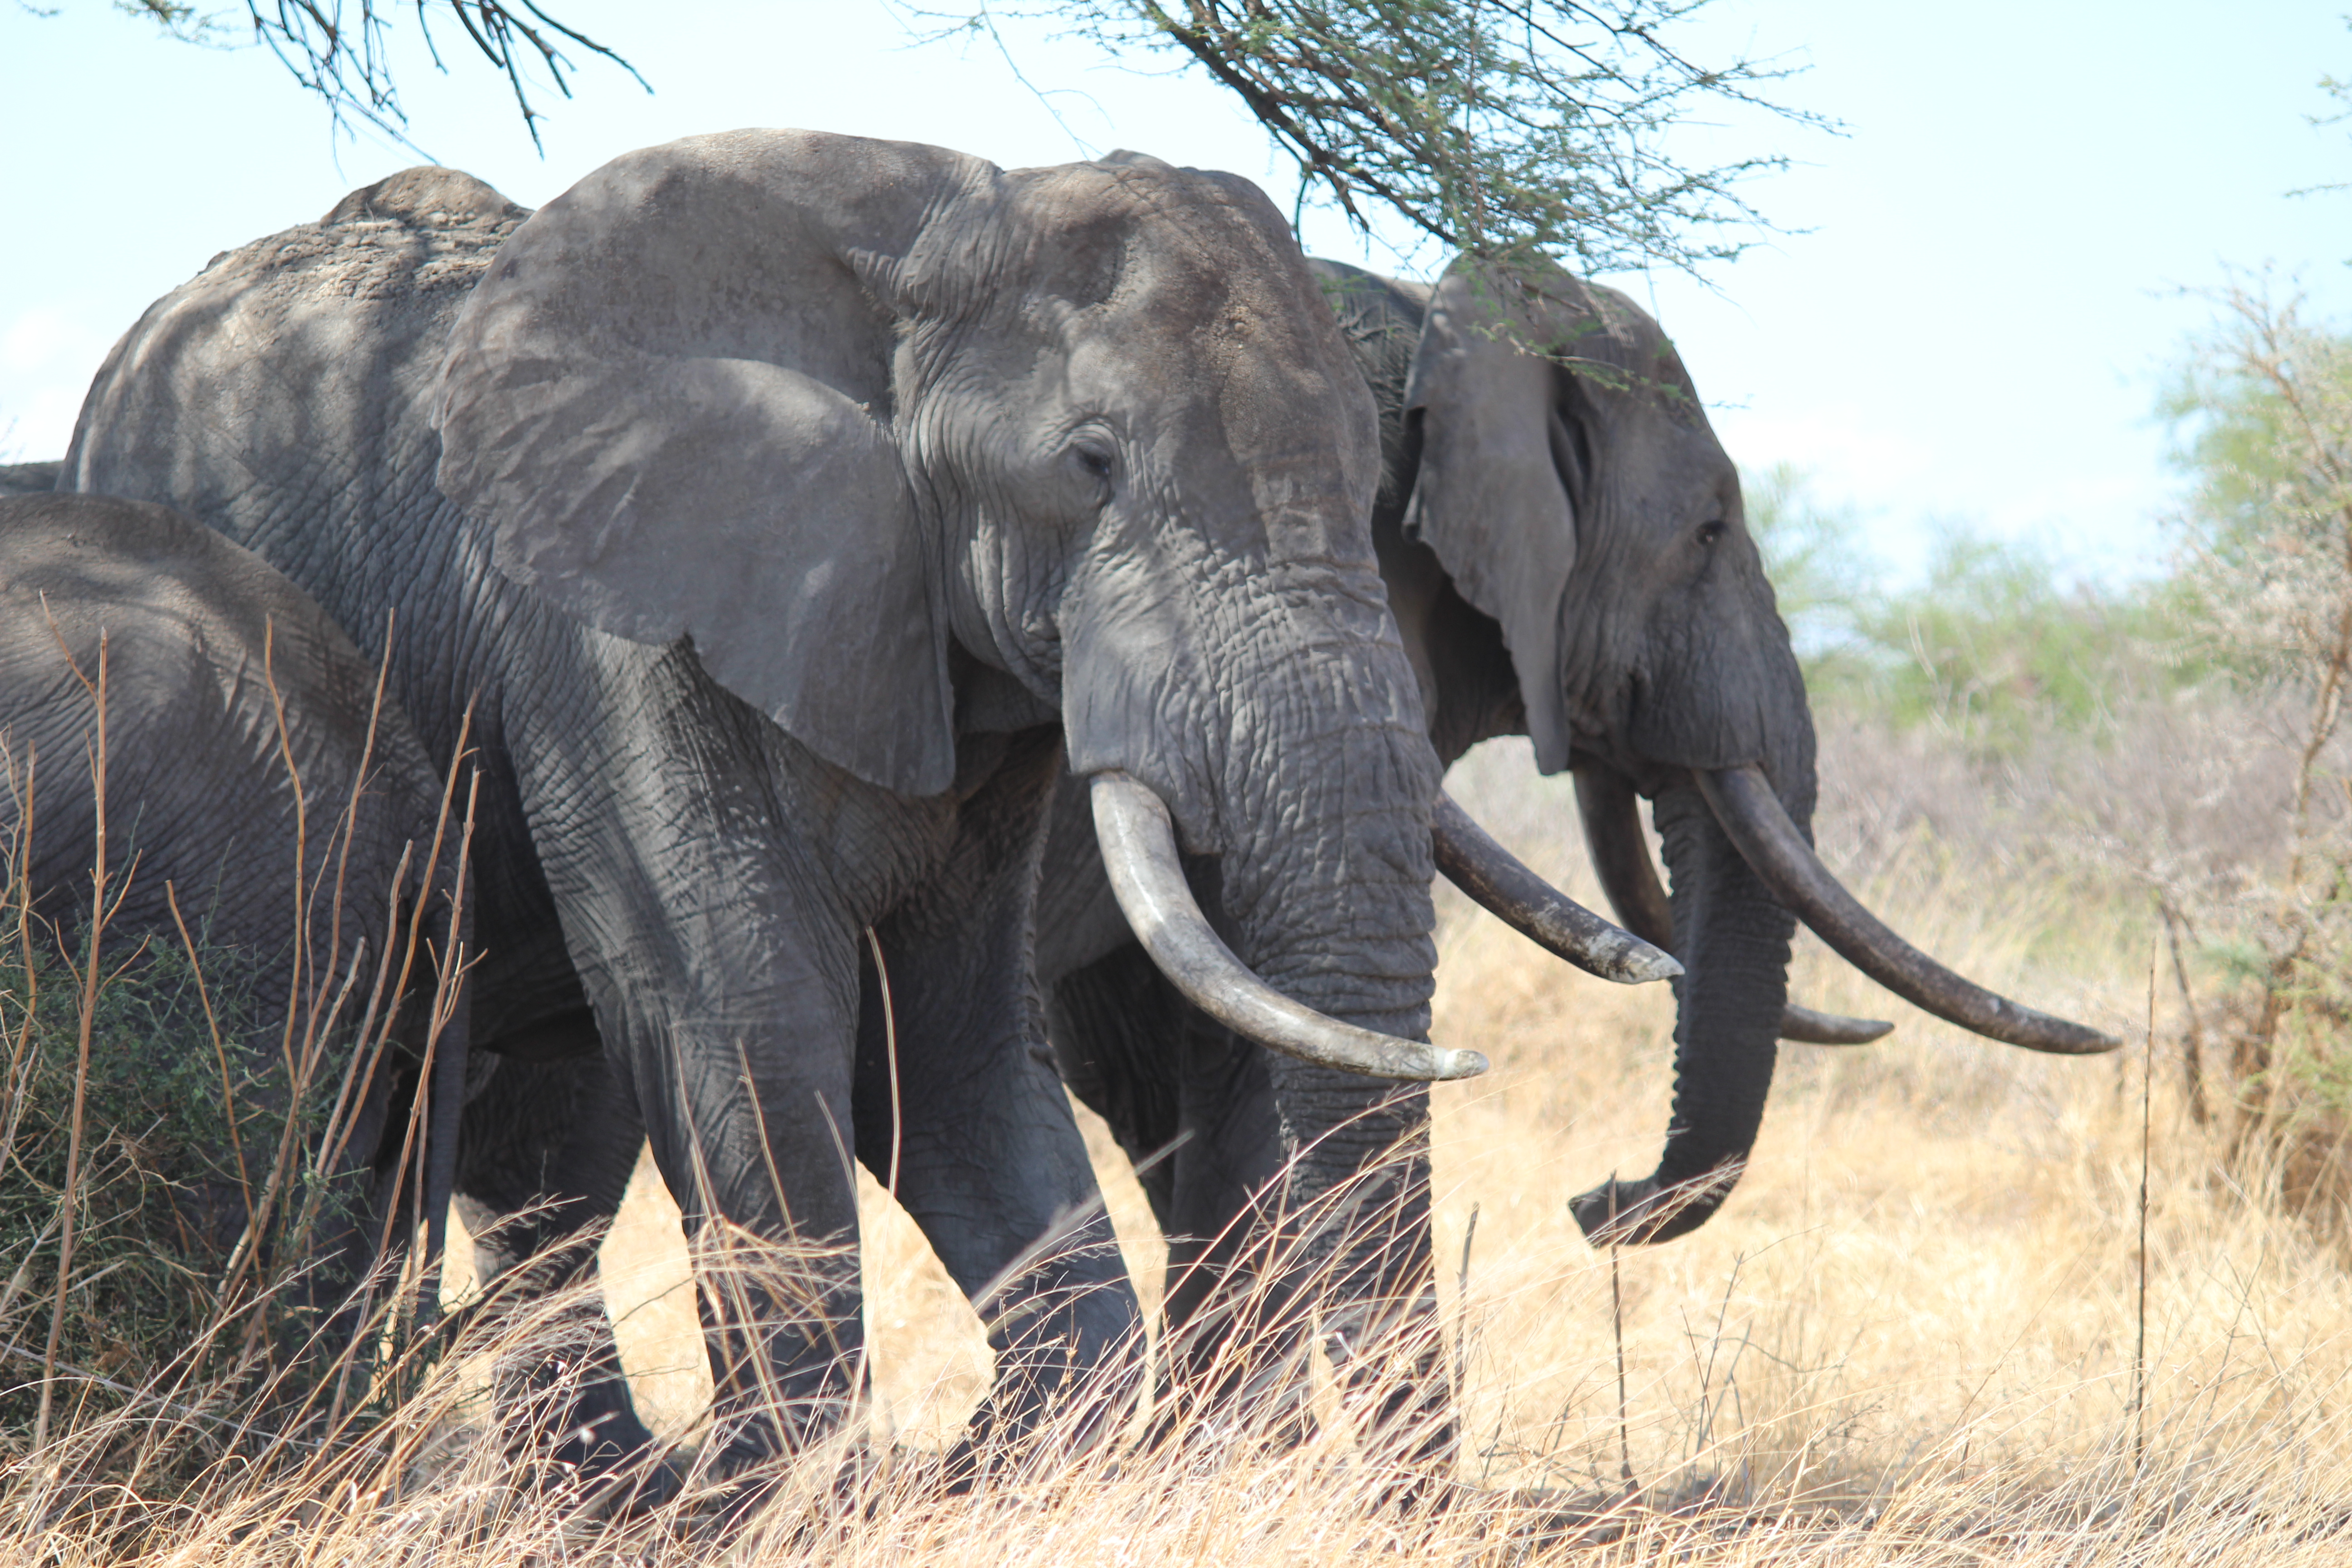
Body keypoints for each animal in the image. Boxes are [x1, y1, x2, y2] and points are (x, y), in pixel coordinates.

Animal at [56, 137, 1622, 1473]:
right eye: (1091, 465)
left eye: (1377, 474)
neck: (913, 240)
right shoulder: (614, 620)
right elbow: (749, 1020)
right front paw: (815, 1498)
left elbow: (947, 1046)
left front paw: (983, 1466)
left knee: (540, 1149)